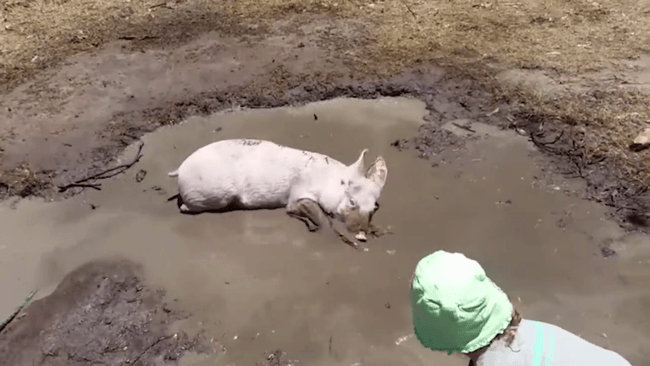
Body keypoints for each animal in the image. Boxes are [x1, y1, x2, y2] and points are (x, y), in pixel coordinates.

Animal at [168, 137, 390, 243]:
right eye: (352, 201)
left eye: (374, 208)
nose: (362, 231)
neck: (328, 179)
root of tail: (180, 168)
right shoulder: (298, 192)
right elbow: (314, 214)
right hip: (211, 194)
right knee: (185, 207)